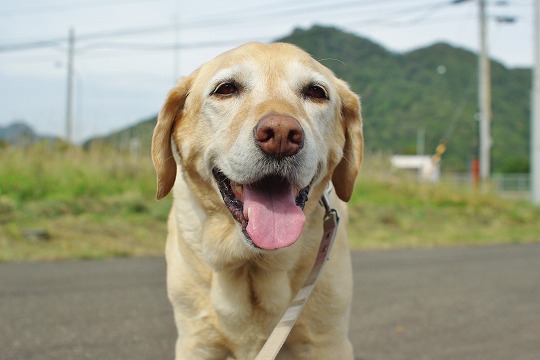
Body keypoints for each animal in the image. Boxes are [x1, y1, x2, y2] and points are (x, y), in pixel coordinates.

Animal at [152, 40, 362, 358]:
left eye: (316, 92)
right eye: (225, 88)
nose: (281, 135)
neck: (252, 263)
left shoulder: (328, 342)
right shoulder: (196, 341)